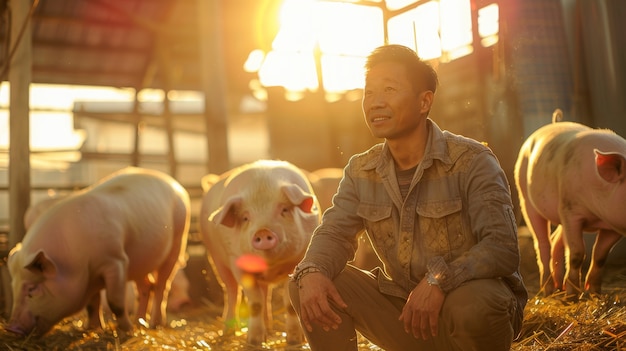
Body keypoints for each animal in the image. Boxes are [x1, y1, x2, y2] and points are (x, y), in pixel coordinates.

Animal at [6, 168, 188, 338]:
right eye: (13, 287)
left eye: (32, 288)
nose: (11, 329)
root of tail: (176, 185)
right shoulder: (91, 275)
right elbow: (92, 304)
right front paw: (91, 328)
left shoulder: (116, 261)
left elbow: (115, 302)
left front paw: (126, 331)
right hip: (141, 262)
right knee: (147, 287)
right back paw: (139, 322)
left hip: (177, 241)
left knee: (162, 286)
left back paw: (154, 325)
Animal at [200, 160, 320, 346]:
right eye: (245, 218)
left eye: (284, 210)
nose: (263, 231)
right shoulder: (237, 263)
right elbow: (255, 303)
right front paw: (254, 342)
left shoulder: (297, 260)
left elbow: (289, 304)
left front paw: (294, 341)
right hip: (217, 260)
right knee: (232, 292)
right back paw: (228, 333)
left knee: (265, 294)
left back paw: (269, 329)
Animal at [512, 109, 624, 296]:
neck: (597, 215)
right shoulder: (571, 210)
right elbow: (577, 253)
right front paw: (572, 296)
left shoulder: (612, 227)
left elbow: (600, 256)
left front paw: (594, 293)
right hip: (526, 198)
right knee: (543, 244)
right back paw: (549, 291)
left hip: (559, 213)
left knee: (556, 241)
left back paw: (559, 287)